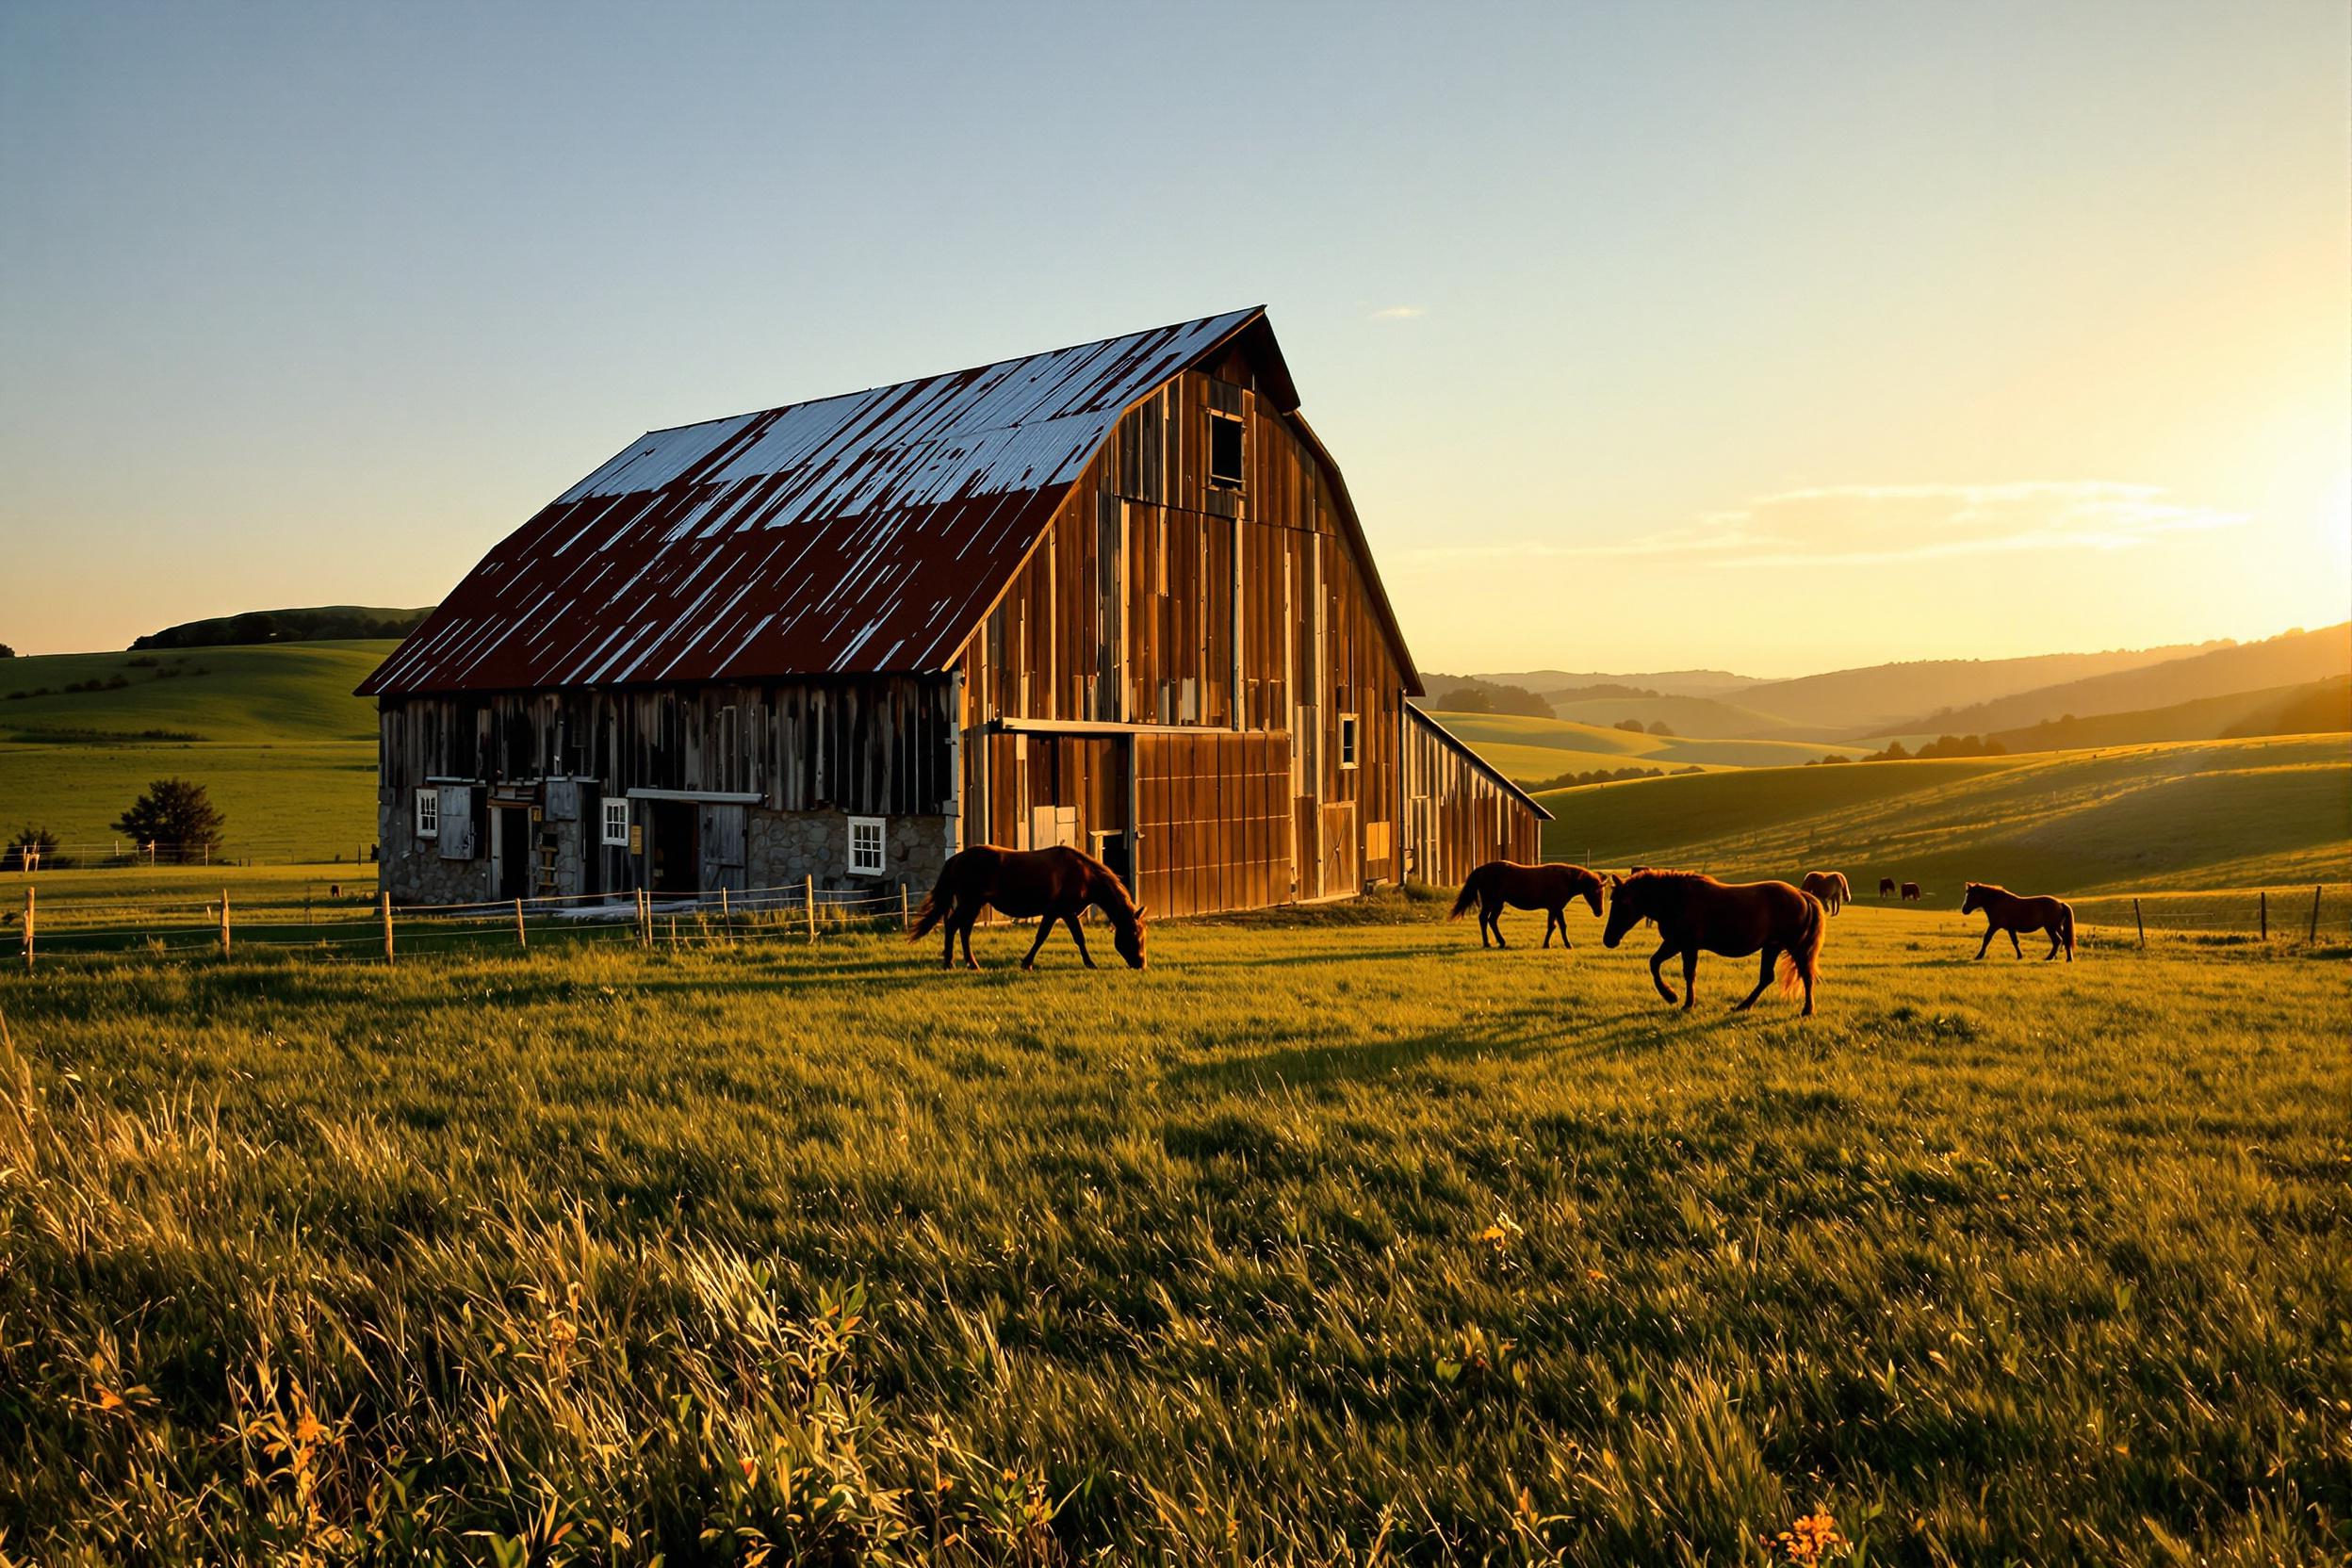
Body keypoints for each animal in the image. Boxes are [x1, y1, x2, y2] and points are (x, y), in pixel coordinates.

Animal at [907, 846, 1148, 968]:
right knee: (953, 926)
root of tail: (957, 858)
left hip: (974, 904)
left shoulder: (1062, 913)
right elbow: (1061, 937)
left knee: (964, 930)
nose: (1141, 963)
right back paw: (950, 963)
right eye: (1135, 935)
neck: (1083, 875)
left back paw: (972, 963)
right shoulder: (1061, 911)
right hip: (969, 902)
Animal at [1439, 865, 1609, 949]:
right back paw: (1487, 943)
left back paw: (1501, 942)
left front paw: (1567, 944)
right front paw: (1547, 944)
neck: (1566, 878)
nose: (1599, 912)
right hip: (1490, 902)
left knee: (1491, 921)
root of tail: (1480, 870)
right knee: (1483, 919)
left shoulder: (1557, 908)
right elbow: (1552, 926)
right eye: (1596, 892)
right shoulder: (1554, 907)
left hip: (1498, 903)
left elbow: (1561, 926)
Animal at [1609, 870, 1824, 1020]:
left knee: (1806, 975)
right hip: (1772, 946)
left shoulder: (1684, 944)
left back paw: (1807, 1010)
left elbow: (1686, 973)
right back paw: (1743, 1006)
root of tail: (1802, 894)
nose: (1608, 939)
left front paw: (1680, 1000)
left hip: (1794, 947)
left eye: (1623, 902)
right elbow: (1655, 963)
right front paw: (1673, 996)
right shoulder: (1676, 944)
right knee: (1766, 978)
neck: (1676, 899)